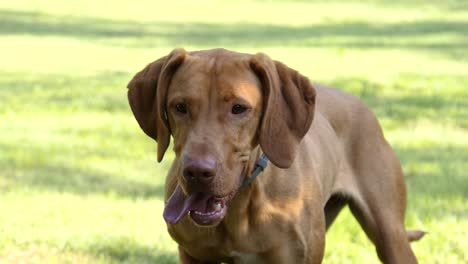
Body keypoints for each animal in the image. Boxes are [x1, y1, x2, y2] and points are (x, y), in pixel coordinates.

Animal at [127, 48, 424, 262]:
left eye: (239, 108)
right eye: (180, 106)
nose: (197, 172)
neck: (239, 207)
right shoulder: (192, 255)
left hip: (390, 236)